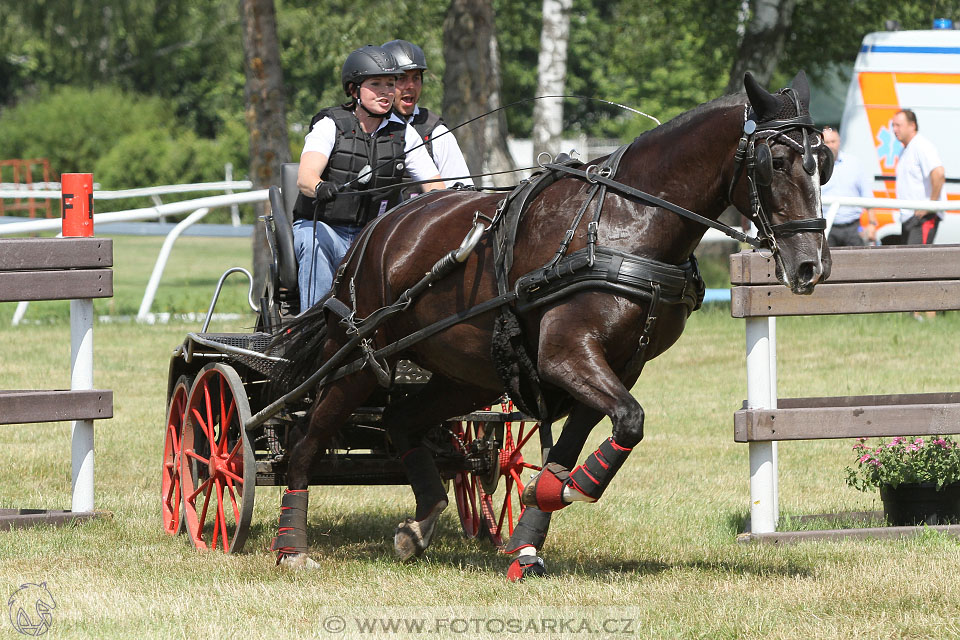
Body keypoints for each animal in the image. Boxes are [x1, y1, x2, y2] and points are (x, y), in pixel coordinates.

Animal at [270, 71, 832, 580]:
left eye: (821, 163)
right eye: (776, 162)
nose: (810, 266)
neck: (625, 221)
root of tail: (377, 231)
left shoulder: (617, 366)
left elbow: (578, 446)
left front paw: (530, 530)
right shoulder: (566, 355)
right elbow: (628, 421)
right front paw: (552, 499)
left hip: (464, 376)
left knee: (400, 420)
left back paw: (419, 524)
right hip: (360, 359)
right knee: (303, 438)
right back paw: (291, 546)